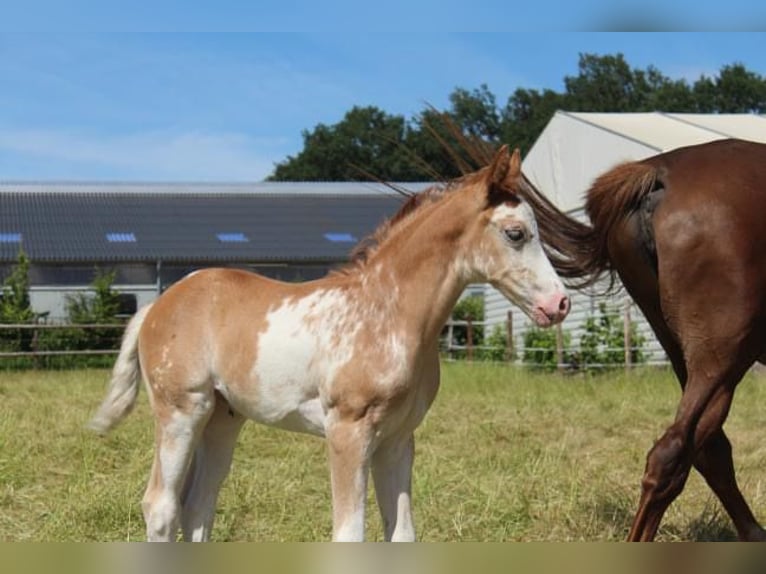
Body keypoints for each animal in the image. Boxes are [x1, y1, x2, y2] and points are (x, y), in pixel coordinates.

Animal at [88, 146, 568, 544]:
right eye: (516, 233)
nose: (559, 304)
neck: (386, 312)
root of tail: (158, 305)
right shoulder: (348, 432)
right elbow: (349, 535)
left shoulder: (397, 440)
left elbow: (402, 535)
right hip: (181, 411)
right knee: (161, 507)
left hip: (222, 420)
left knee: (197, 511)